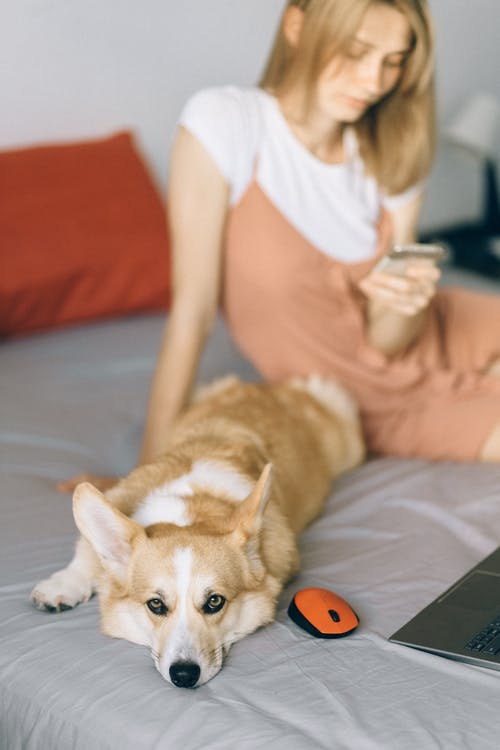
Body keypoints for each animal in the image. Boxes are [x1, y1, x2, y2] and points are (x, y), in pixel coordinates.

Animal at [32, 378, 364, 692]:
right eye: (156, 605)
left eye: (215, 602)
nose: (183, 675)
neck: (191, 507)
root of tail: (268, 387)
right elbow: (86, 553)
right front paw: (61, 586)